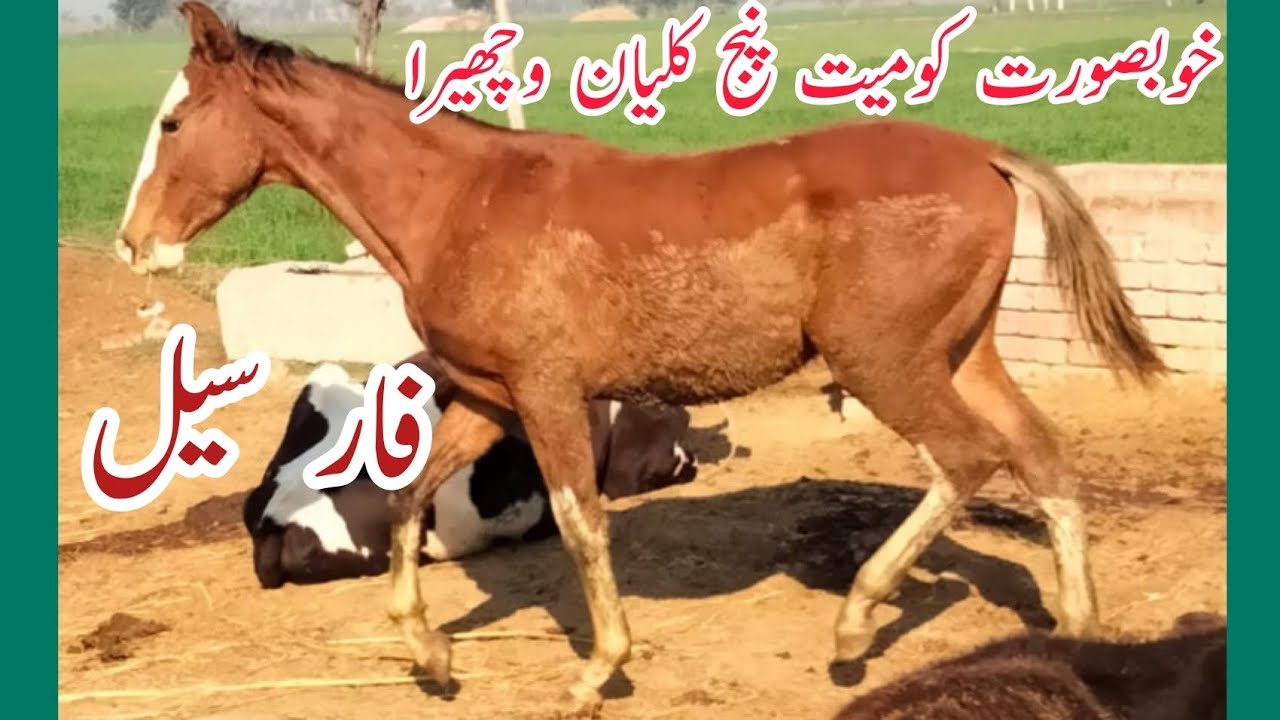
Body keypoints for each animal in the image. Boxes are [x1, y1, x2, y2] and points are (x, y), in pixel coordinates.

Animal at [114, 3, 1166, 713]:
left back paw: (857, 620)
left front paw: (597, 669)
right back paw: (1078, 629)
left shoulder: (546, 394)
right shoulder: (489, 397)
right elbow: (409, 498)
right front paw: (431, 655)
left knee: (968, 459)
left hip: (886, 362)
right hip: (963, 353)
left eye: (172, 123)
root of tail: (987, 157)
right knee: (1042, 457)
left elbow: (583, 525)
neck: (461, 203)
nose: (133, 243)